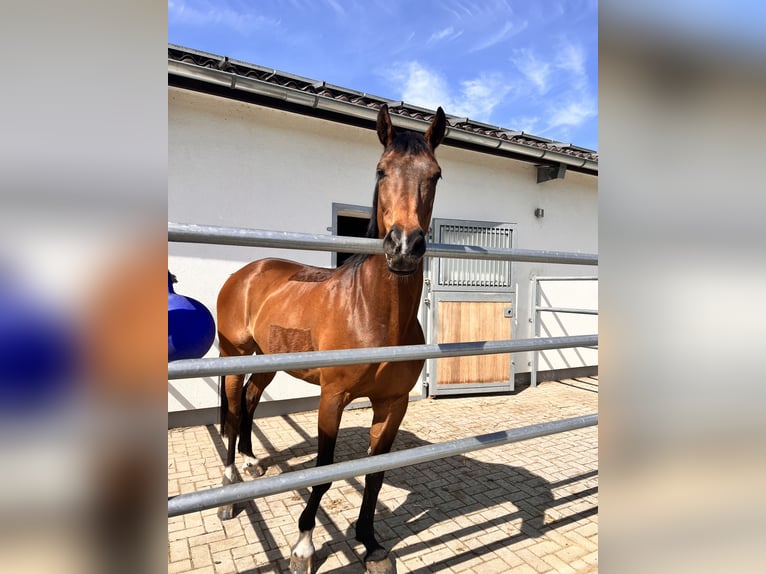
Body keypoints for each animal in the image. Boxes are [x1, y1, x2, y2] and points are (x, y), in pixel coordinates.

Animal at [215, 103, 446, 574]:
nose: (404, 247)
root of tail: (244, 273)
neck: (372, 314)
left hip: (267, 361)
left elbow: (375, 474)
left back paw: (251, 462)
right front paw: (304, 546)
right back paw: (230, 488)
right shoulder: (332, 398)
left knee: (249, 400)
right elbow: (323, 470)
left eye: (435, 175)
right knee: (232, 407)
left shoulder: (392, 404)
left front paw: (370, 543)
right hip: (234, 355)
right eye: (381, 170)